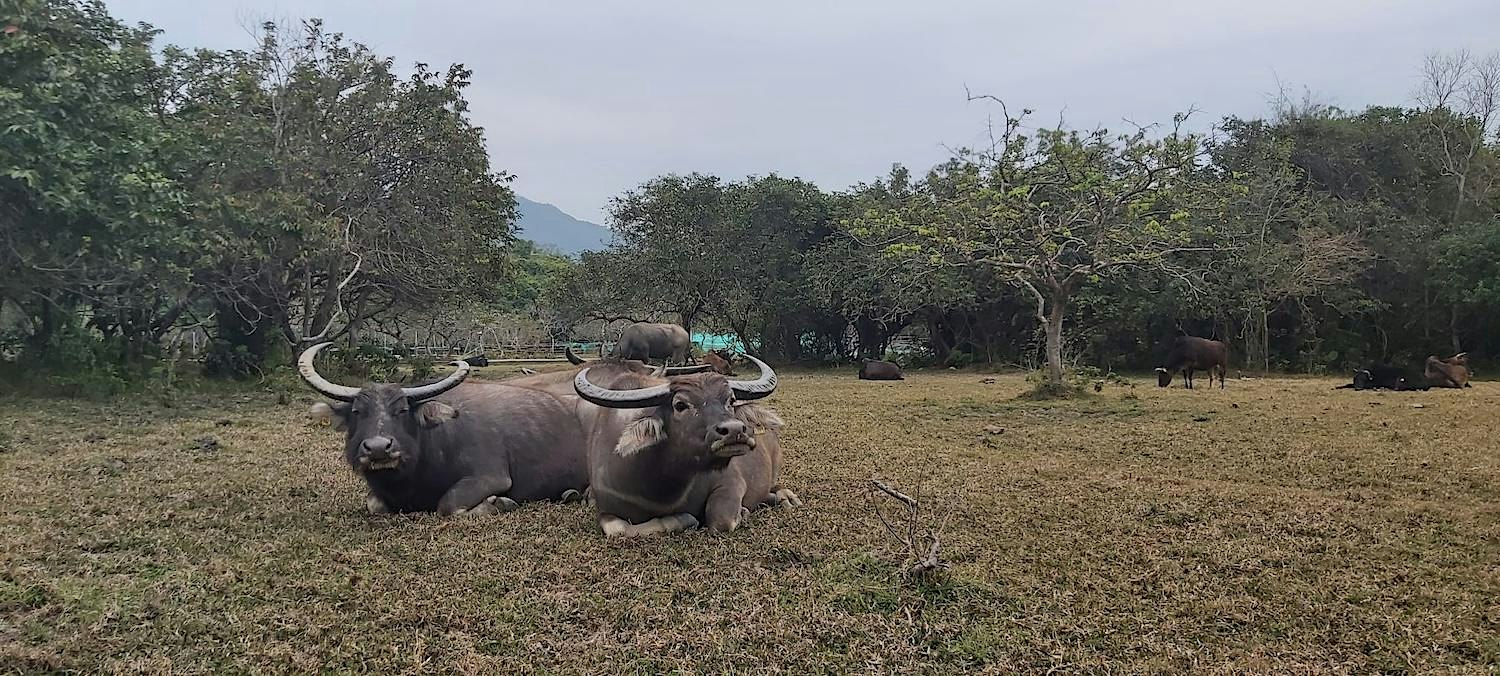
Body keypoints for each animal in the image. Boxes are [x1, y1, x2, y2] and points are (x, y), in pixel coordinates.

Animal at [298, 342, 589, 515]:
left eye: (402, 410)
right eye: (358, 412)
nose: (379, 448)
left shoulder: (491, 477)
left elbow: (447, 505)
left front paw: (499, 503)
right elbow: (374, 504)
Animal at [571, 355, 800, 537]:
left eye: (731, 400)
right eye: (680, 404)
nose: (735, 430)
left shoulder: (732, 483)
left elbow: (721, 521)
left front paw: (741, 512)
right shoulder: (604, 507)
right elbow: (616, 529)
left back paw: (786, 497)